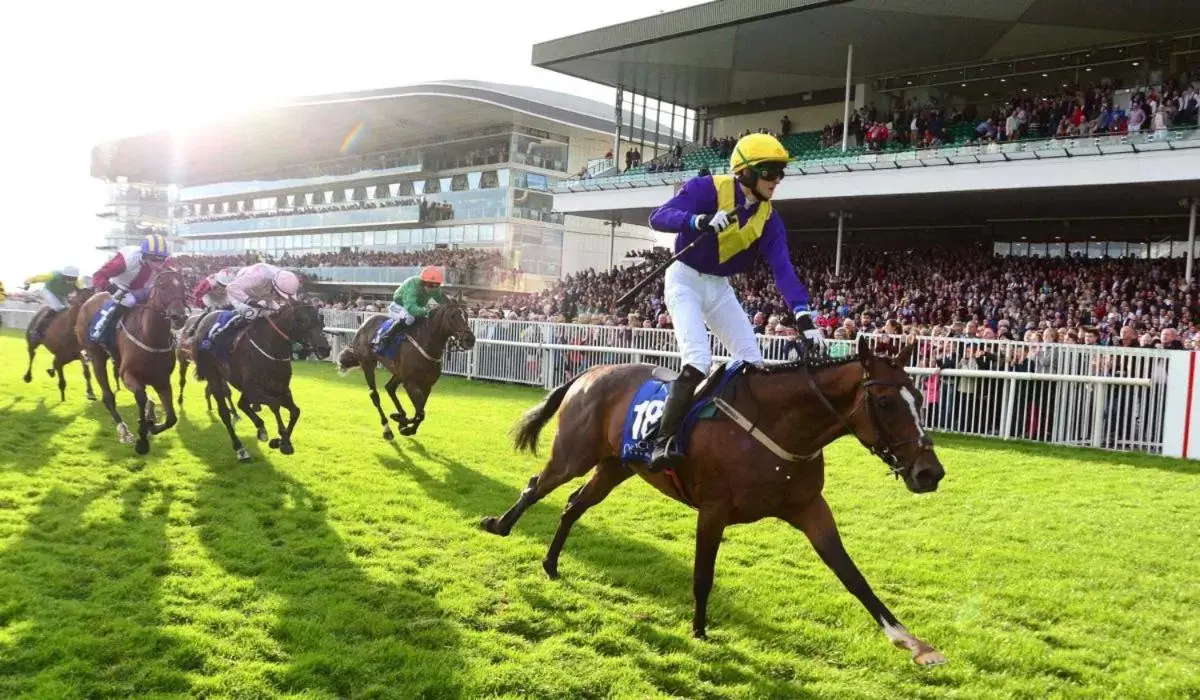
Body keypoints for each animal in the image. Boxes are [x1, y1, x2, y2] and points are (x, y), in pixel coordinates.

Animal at [194, 300, 331, 461]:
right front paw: (282, 439)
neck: (272, 350)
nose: (325, 348)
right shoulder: (254, 389)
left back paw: (260, 428)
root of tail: (206, 316)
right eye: (302, 321)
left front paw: (282, 441)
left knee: (241, 404)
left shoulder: (282, 389)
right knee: (225, 413)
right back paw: (240, 448)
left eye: (321, 321)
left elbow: (296, 411)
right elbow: (274, 405)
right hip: (214, 376)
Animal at [338, 298, 472, 441]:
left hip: (398, 372)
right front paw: (400, 421)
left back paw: (401, 416)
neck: (426, 344)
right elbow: (420, 413)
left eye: (466, 314)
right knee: (375, 396)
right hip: (368, 364)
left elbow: (420, 411)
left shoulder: (427, 385)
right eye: (453, 315)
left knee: (390, 388)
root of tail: (363, 324)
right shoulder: (410, 383)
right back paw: (387, 428)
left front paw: (405, 425)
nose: (470, 339)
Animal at [482, 338, 950, 667]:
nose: (930, 472)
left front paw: (911, 642)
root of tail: (591, 371)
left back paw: (550, 563)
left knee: (573, 504)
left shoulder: (810, 508)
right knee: (536, 486)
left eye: (919, 398)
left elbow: (852, 575)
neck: (777, 426)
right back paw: (499, 525)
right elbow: (702, 575)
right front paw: (699, 631)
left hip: (615, 467)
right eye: (886, 402)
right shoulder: (713, 509)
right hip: (573, 455)